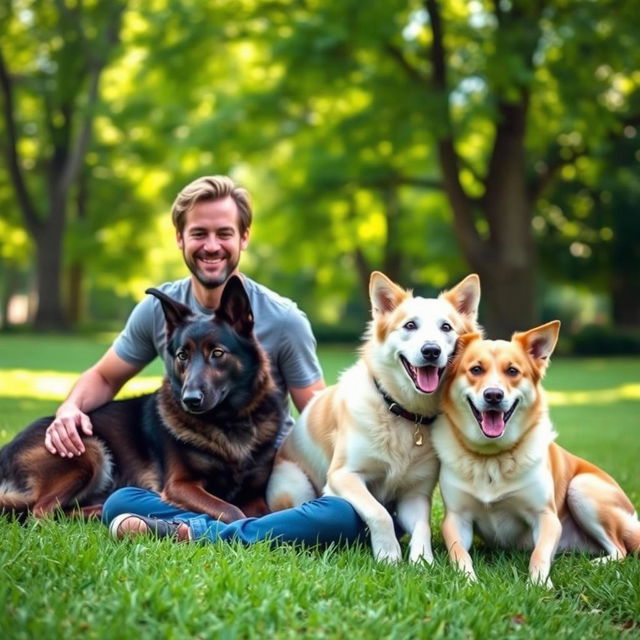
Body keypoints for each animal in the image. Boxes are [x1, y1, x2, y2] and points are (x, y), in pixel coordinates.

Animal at [0, 278, 282, 524]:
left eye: (217, 353)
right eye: (182, 355)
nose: (190, 400)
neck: (229, 422)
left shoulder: (254, 494)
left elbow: (268, 512)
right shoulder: (180, 485)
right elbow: (233, 511)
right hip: (90, 451)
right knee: (41, 512)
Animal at [264, 272, 480, 564]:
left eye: (446, 327)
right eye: (410, 325)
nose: (431, 350)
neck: (402, 411)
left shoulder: (416, 494)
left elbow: (422, 525)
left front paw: (422, 560)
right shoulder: (343, 474)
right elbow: (379, 512)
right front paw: (388, 554)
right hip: (294, 485)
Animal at [430, 322, 640, 588]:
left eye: (512, 371)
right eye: (476, 369)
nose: (493, 395)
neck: (491, 457)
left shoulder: (546, 517)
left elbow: (539, 553)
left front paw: (538, 584)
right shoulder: (456, 519)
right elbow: (459, 553)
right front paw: (468, 580)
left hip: (582, 486)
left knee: (620, 549)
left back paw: (598, 563)